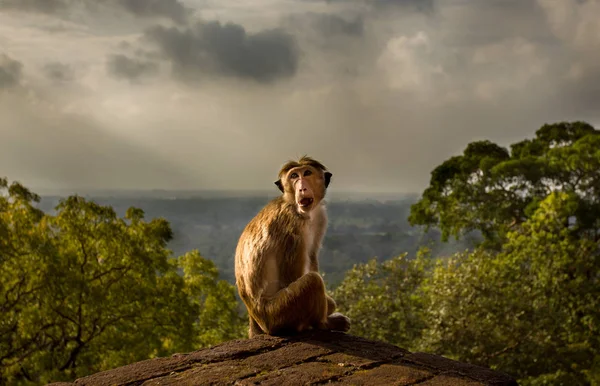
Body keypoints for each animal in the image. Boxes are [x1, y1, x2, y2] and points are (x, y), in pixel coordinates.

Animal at [232, 155, 350, 336]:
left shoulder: (320, 217)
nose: (301, 188)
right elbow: (292, 277)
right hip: (279, 313)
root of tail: (258, 323)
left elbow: (312, 257)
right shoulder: (291, 226)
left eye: (307, 173)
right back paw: (324, 324)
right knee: (312, 281)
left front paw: (329, 303)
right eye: (294, 176)